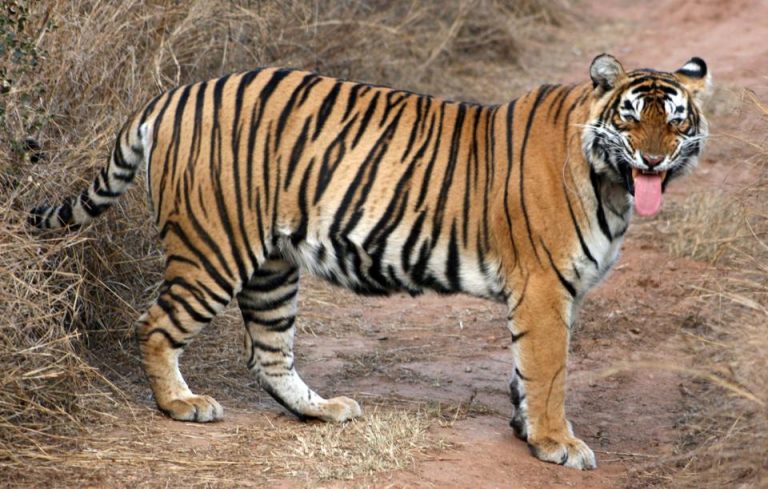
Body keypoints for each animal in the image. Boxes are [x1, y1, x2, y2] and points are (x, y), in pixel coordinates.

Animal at [29, 54, 710, 470]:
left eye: (676, 123)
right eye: (629, 118)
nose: (652, 160)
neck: (612, 184)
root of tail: (172, 95)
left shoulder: (545, 293)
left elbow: (527, 371)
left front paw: (526, 430)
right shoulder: (544, 287)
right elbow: (550, 373)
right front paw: (555, 444)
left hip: (273, 265)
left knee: (268, 354)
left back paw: (324, 410)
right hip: (213, 249)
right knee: (155, 326)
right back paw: (183, 405)